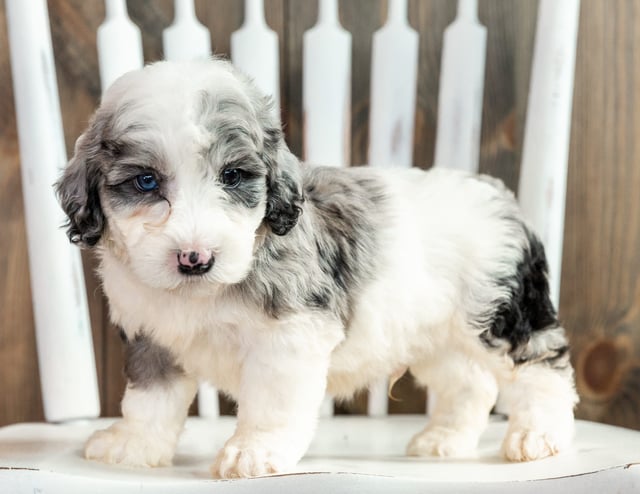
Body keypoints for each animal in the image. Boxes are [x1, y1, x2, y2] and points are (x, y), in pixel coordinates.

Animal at [57, 58, 580, 478]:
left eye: (232, 176)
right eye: (146, 182)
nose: (195, 258)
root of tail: (500, 195)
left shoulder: (287, 336)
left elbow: (270, 402)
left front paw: (254, 450)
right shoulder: (152, 340)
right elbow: (149, 399)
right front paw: (133, 444)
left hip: (503, 315)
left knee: (541, 368)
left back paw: (539, 436)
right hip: (437, 335)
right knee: (469, 383)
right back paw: (445, 440)